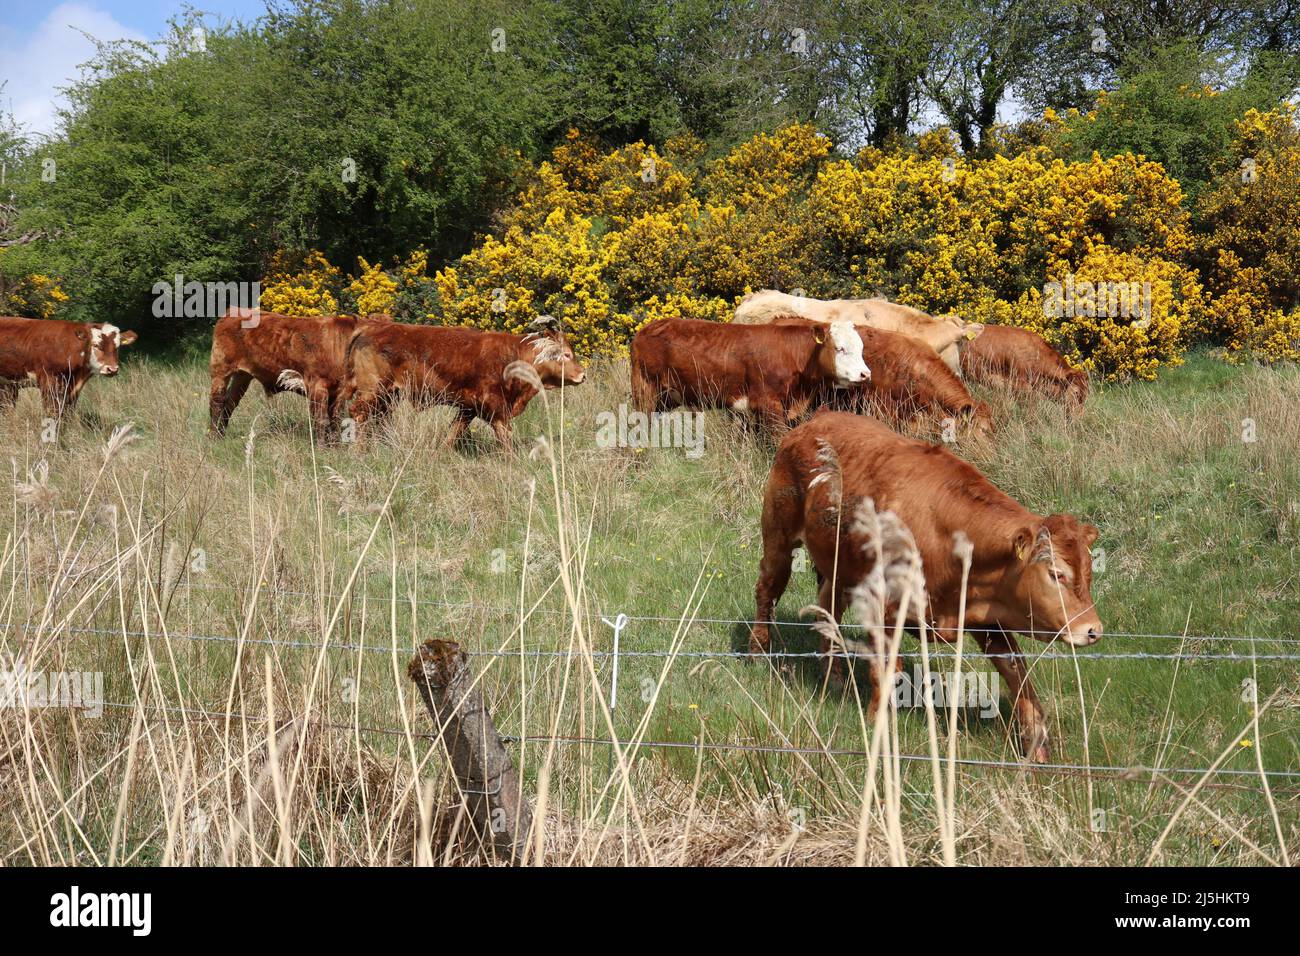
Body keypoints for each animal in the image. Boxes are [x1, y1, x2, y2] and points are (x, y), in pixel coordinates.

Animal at [0, 317, 138, 419]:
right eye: (96, 345)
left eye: (117, 347)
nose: (112, 369)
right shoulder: (48, 383)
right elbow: (52, 414)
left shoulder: (72, 390)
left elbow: (67, 414)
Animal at [208, 307, 388, 442]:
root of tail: (232, 312)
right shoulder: (317, 385)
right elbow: (321, 420)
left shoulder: (338, 391)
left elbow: (335, 420)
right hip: (220, 370)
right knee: (216, 402)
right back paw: (214, 437)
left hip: (242, 376)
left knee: (229, 403)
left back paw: (221, 435)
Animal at [342, 315, 585, 451]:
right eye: (566, 354)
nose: (582, 375)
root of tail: (371, 328)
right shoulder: (496, 407)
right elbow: (505, 437)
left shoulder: (468, 408)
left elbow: (453, 432)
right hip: (373, 391)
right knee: (358, 414)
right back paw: (358, 450)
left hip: (389, 396)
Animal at [630, 318, 870, 434]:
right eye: (840, 348)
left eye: (860, 348)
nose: (865, 374)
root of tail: (646, 329)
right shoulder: (768, 405)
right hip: (644, 389)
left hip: (666, 397)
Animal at [749, 410, 1101, 761]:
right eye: (1056, 574)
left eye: (1089, 573)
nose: (1092, 629)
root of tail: (814, 422)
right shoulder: (883, 611)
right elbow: (886, 670)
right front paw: (878, 724)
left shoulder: (987, 622)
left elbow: (1017, 674)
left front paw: (1037, 745)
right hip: (779, 541)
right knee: (767, 591)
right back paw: (758, 651)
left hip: (838, 569)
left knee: (827, 610)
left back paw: (833, 675)